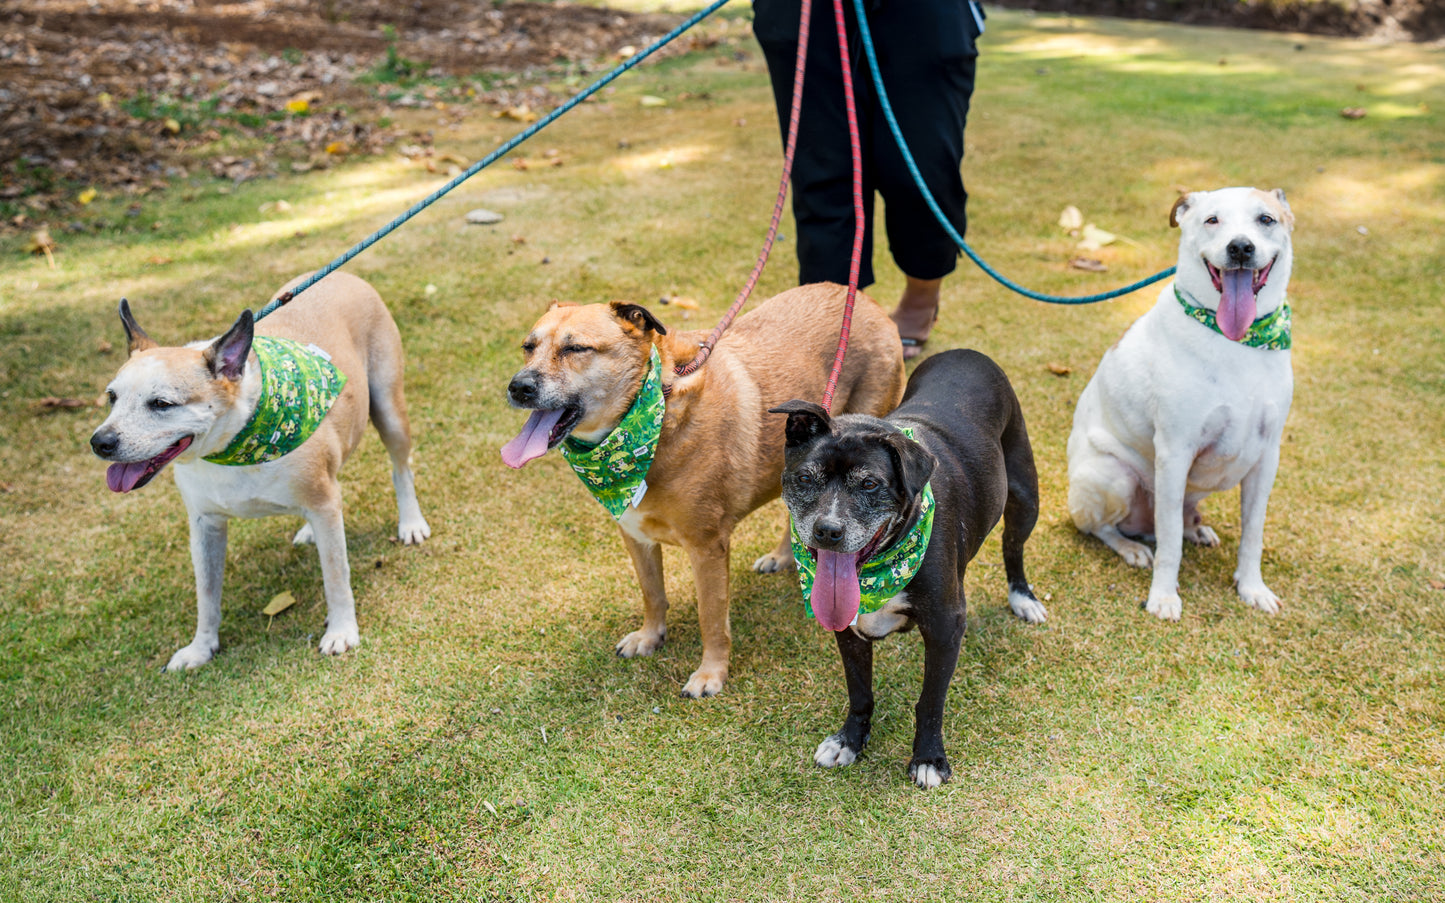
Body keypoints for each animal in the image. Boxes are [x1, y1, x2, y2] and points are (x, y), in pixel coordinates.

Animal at [88, 271, 427, 664]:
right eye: (111, 397)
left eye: (161, 404)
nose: (100, 442)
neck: (231, 445)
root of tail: (344, 274)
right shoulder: (205, 525)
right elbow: (207, 595)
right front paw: (201, 647)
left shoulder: (323, 504)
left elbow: (336, 576)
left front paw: (342, 630)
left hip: (389, 410)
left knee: (401, 469)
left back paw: (411, 522)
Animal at [499, 284, 901, 693]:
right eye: (528, 346)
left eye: (577, 348)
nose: (518, 387)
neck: (655, 411)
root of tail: (860, 297)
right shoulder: (635, 534)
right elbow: (652, 593)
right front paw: (650, 636)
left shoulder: (707, 547)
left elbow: (711, 617)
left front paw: (711, 673)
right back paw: (785, 556)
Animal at [774, 348, 1046, 785]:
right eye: (805, 478)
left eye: (869, 484)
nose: (827, 530)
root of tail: (967, 351)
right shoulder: (846, 626)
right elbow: (860, 691)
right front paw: (849, 741)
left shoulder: (945, 625)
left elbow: (930, 700)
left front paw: (928, 758)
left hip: (1025, 497)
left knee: (1013, 547)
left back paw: (1023, 597)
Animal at [1069, 183, 1294, 618]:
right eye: (1212, 220)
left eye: (1265, 219)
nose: (1240, 248)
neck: (1236, 341)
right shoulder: (1174, 452)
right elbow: (1169, 541)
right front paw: (1163, 597)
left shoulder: (1267, 456)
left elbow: (1253, 532)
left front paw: (1252, 587)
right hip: (1114, 477)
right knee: (1100, 527)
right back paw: (1132, 547)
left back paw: (1197, 528)